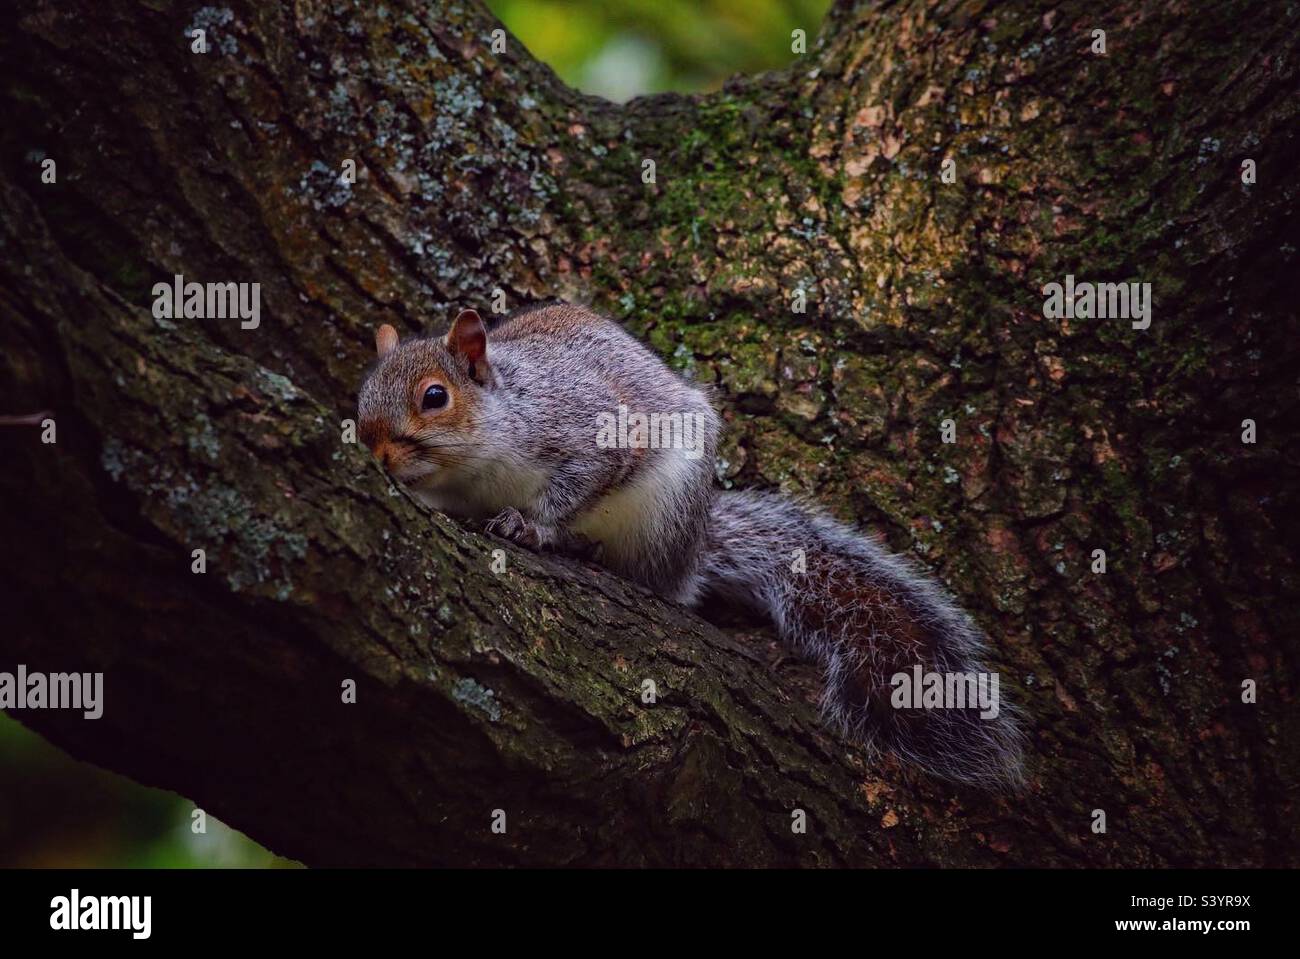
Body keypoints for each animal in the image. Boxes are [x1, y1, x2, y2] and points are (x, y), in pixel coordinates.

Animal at [357, 303, 1026, 789]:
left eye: (435, 396)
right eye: (362, 402)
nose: (380, 456)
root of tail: (694, 549)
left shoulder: (587, 431)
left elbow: (578, 484)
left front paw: (533, 527)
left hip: (665, 514)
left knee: (662, 584)